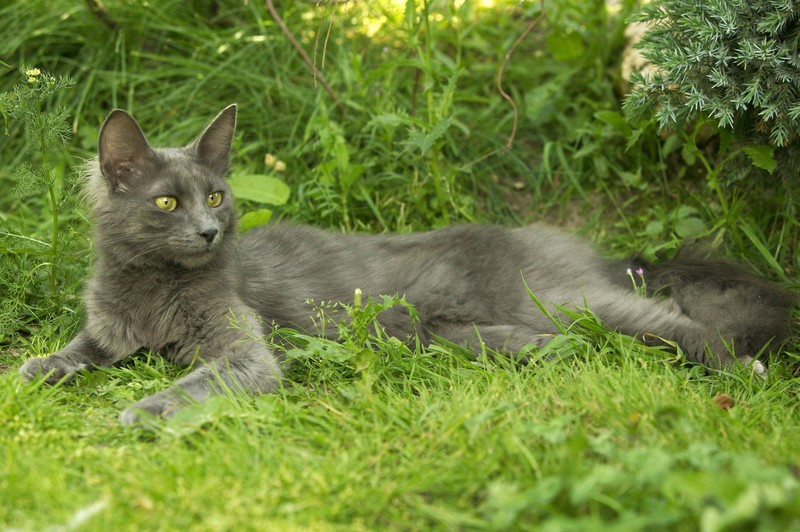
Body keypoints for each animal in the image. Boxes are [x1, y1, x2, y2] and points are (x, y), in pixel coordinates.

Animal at [18, 107, 792, 424]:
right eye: (167, 201)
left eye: (215, 196)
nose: (209, 232)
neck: (152, 287)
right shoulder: (108, 330)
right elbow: (71, 351)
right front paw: (33, 370)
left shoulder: (245, 353)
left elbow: (196, 382)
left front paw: (136, 412)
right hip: (464, 333)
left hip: (562, 297)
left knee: (673, 317)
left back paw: (742, 370)